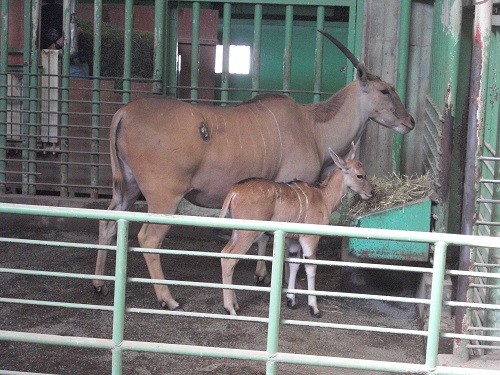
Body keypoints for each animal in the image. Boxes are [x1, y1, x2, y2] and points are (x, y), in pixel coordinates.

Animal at [219, 145, 372, 318]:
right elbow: (311, 268)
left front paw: (291, 301)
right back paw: (230, 308)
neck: (323, 197)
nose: (371, 192)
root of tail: (234, 191)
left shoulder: (294, 241)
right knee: (229, 259)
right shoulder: (309, 238)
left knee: (225, 253)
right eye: (360, 175)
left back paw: (235, 304)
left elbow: (293, 264)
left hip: (237, 233)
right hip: (246, 234)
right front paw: (314, 308)